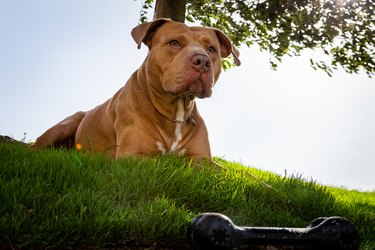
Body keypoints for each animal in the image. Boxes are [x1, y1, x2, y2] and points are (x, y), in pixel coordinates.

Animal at [32, 18, 241, 162]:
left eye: (211, 49)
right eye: (174, 42)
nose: (202, 60)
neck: (175, 111)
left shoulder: (203, 160)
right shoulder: (134, 155)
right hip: (65, 125)